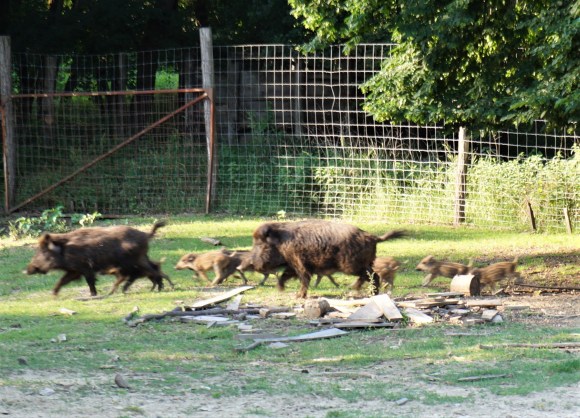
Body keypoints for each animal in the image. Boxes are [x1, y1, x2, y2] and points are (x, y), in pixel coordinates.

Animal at [26, 221, 169, 296]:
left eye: (43, 252)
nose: (27, 270)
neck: (66, 251)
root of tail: (145, 235)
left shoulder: (85, 268)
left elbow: (90, 281)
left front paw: (93, 295)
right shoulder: (75, 270)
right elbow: (63, 280)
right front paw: (54, 294)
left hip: (137, 260)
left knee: (152, 270)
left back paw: (161, 288)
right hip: (143, 257)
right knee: (153, 268)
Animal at [244, 220, 406, 298]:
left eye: (261, 244)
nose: (251, 263)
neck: (281, 242)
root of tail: (373, 237)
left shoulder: (299, 262)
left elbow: (304, 278)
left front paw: (299, 296)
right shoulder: (292, 264)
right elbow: (286, 275)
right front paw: (281, 289)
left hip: (351, 265)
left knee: (373, 275)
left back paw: (365, 292)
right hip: (364, 263)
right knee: (370, 275)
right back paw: (357, 290)